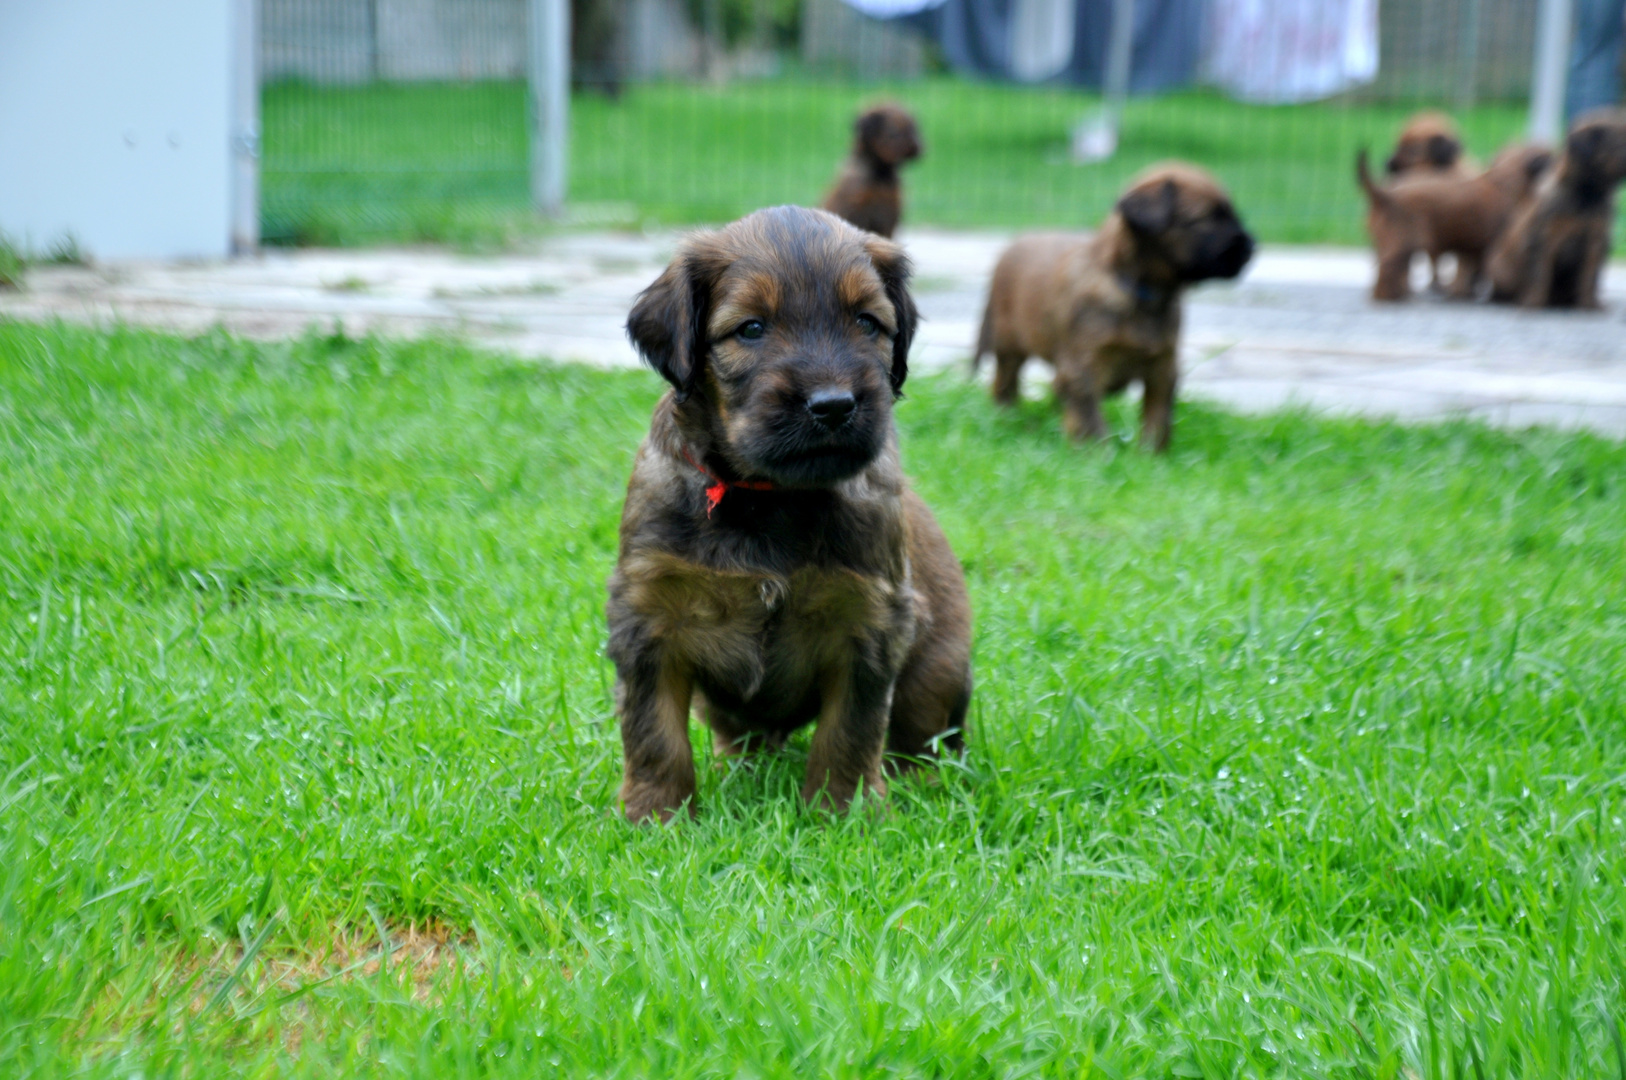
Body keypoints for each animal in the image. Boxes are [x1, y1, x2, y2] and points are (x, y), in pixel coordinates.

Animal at [608, 206, 962, 823]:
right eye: (751, 329)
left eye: (868, 323)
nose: (834, 405)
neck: (768, 495)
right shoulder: (649, 615)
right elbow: (654, 732)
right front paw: (655, 817)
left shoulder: (870, 622)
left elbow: (850, 731)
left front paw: (843, 813)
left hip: (937, 672)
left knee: (922, 740)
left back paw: (920, 785)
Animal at [819, 103, 923, 239]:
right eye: (894, 131)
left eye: (913, 129)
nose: (917, 148)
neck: (881, 175)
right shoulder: (858, 211)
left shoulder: (889, 216)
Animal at [969, 164, 1248, 452]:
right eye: (1206, 219)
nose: (1250, 248)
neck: (1140, 292)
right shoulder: (1083, 366)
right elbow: (1091, 418)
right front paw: (1098, 453)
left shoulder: (1163, 365)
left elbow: (1158, 415)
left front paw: (1152, 455)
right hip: (1009, 345)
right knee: (1005, 383)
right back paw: (1007, 417)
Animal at [1352, 141, 1554, 299]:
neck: (1507, 180)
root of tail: (1385, 196)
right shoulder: (1490, 245)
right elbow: (1476, 272)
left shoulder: (1472, 248)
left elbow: (1469, 272)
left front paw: (1464, 293)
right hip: (1400, 244)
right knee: (1387, 270)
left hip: (1389, 244)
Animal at [1489, 108, 1626, 307]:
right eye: (1620, 144)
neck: (1586, 196)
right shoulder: (1544, 238)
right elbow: (1540, 275)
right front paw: (1534, 302)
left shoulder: (1596, 241)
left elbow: (1589, 277)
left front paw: (1590, 304)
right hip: (1500, 269)